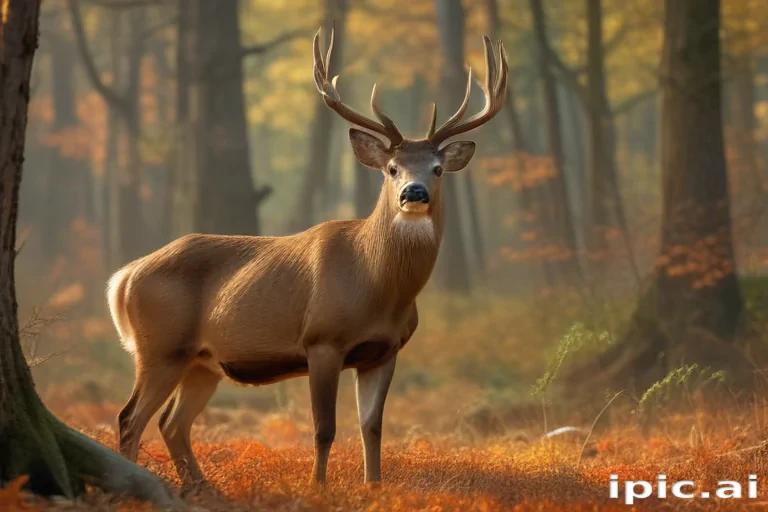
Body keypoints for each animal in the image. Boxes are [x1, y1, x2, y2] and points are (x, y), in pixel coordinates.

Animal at [107, 27, 507, 490]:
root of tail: (125, 275)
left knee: (172, 423)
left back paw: (202, 487)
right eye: (391, 168)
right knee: (130, 418)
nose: (414, 193)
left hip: (202, 361)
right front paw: (319, 488)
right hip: (161, 346)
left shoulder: (385, 351)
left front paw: (374, 488)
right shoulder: (322, 339)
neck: (377, 287)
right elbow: (324, 427)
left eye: (437, 169)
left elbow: (372, 427)